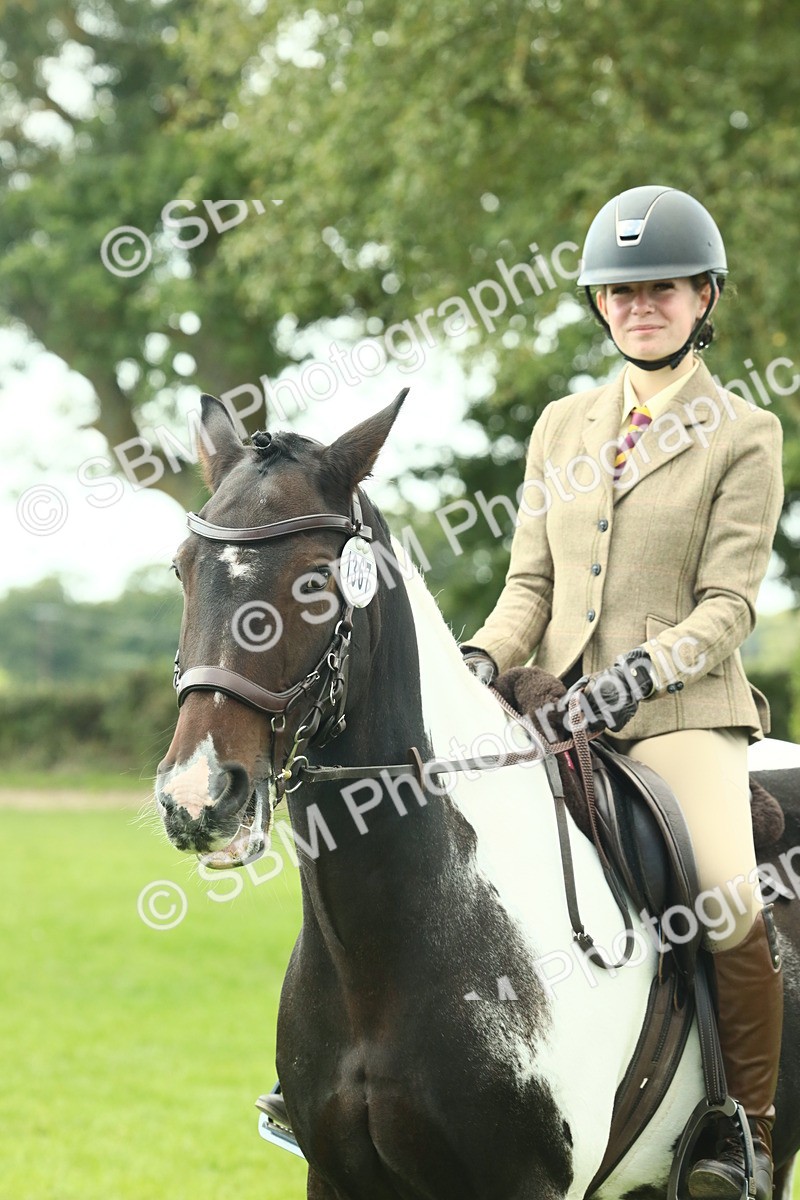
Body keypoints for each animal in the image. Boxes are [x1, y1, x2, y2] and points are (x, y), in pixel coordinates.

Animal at [155, 389, 800, 1199]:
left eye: (313, 579)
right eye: (183, 569)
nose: (199, 796)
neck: (381, 953)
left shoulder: (524, 1182)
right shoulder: (334, 1177)